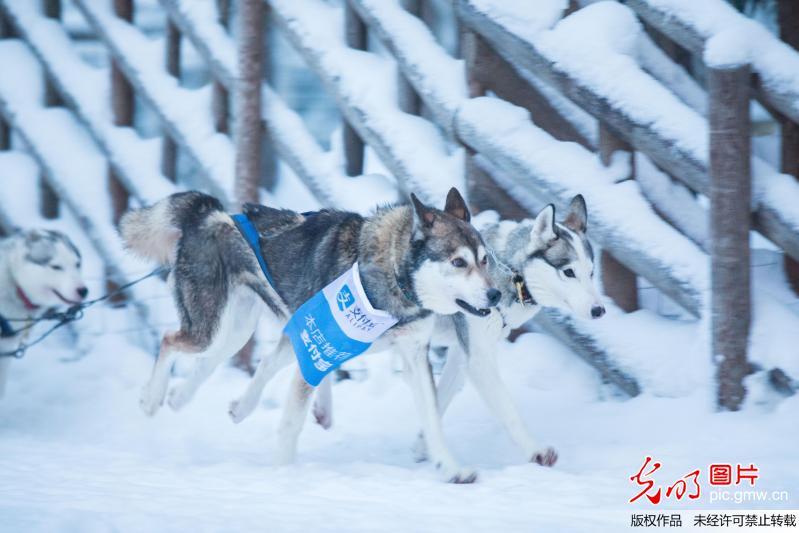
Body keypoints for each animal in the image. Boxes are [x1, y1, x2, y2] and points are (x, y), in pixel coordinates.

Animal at [120, 188, 500, 482]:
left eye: (485, 260)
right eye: (458, 262)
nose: (495, 295)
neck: (389, 275)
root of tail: (209, 212)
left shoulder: (412, 353)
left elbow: (432, 420)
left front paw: (451, 468)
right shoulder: (317, 346)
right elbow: (291, 422)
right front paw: (284, 474)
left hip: (237, 332)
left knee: (217, 363)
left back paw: (191, 399)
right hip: (211, 327)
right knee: (170, 340)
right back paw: (152, 398)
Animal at [412, 195, 608, 466]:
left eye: (591, 273)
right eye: (569, 272)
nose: (599, 310)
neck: (513, 274)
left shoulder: (463, 356)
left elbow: (437, 403)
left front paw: (425, 446)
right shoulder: (479, 361)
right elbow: (509, 411)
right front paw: (536, 451)